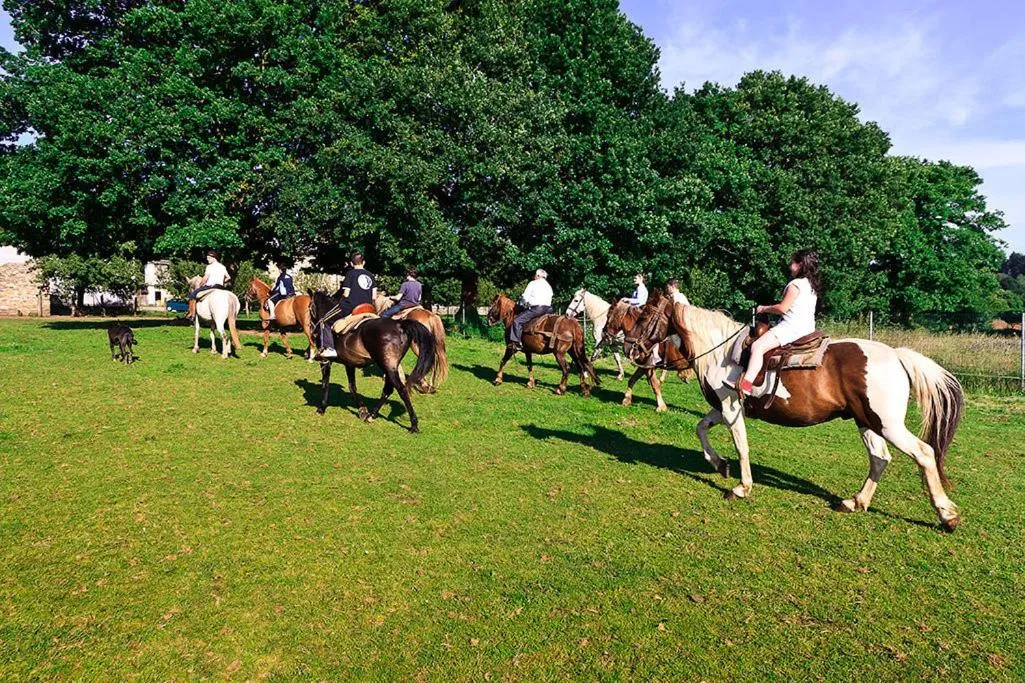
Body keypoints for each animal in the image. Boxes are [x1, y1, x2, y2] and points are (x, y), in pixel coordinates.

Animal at [309, 290, 436, 433]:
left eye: (309, 307)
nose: (311, 330)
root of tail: (400, 324)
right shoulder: (349, 364)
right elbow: (352, 387)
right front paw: (362, 410)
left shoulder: (325, 361)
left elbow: (326, 384)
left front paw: (321, 408)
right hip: (390, 367)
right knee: (388, 390)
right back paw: (372, 414)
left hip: (387, 366)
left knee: (401, 389)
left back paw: (413, 424)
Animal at [629, 290, 964, 531]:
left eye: (645, 315)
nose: (632, 347)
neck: (722, 351)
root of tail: (896, 355)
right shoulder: (721, 408)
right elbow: (700, 428)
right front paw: (718, 464)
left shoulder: (730, 407)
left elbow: (741, 446)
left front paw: (741, 487)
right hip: (866, 422)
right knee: (880, 458)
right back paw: (855, 502)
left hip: (888, 425)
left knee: (924, 453)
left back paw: (947, 515)